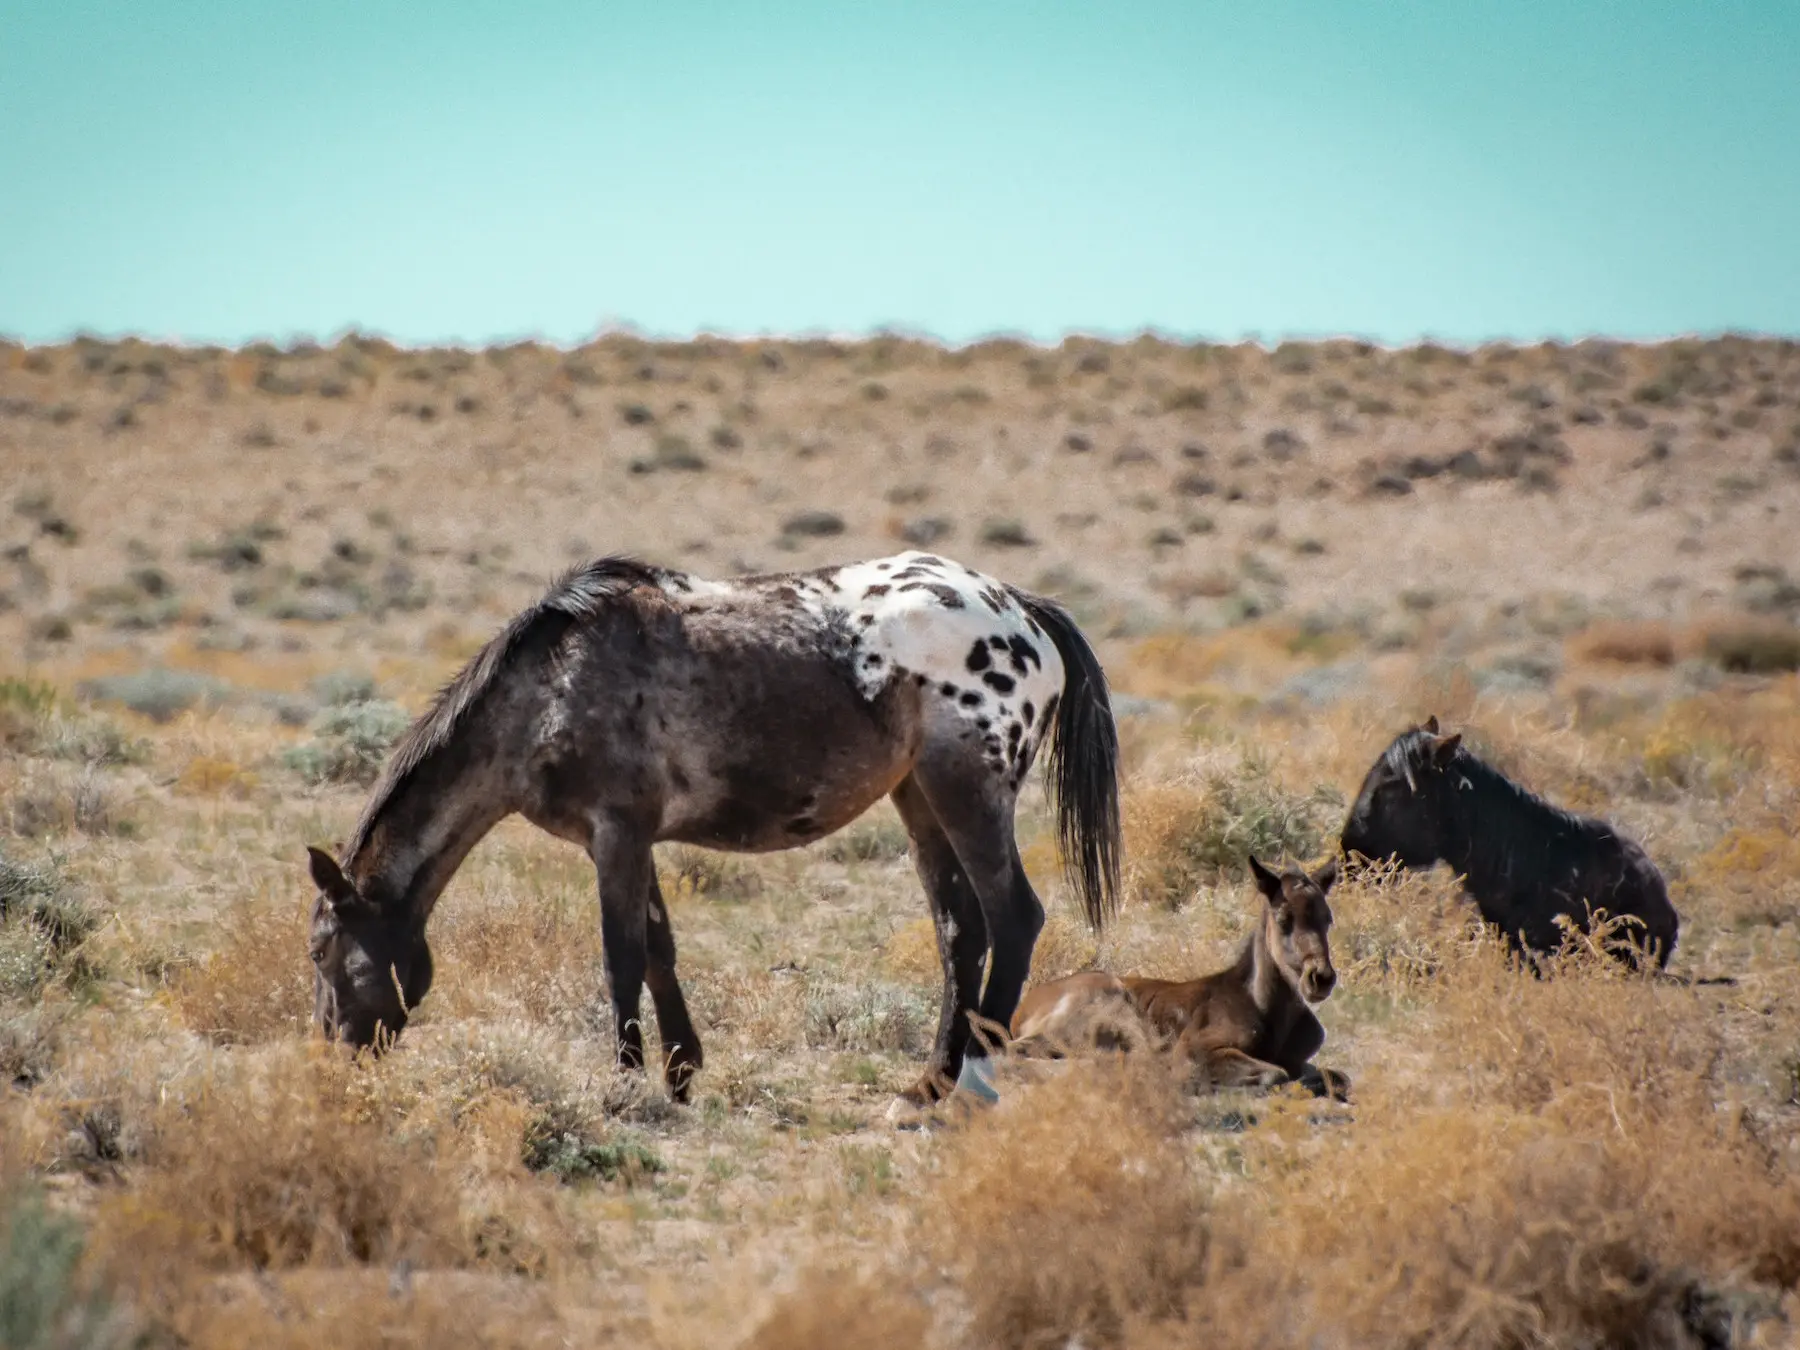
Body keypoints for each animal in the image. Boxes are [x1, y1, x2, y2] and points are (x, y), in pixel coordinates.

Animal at [302, 550, 1116, 1108]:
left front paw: (627, 1083)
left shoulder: (616, 836)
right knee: (960, 931)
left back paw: (971, 1079)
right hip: (919, 799)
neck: (548, 690)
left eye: (319, 951)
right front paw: (680, 1073)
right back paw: (928, 1083)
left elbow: (622, 959)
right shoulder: (631, 841)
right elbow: (660, 950)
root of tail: (1017, 608)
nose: (334, 1052)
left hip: (967, 792)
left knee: (1013, 919)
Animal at [1008, 860, 1346, 1101]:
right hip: (1105, 1008)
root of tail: (1020, 1012)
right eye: (1283, 919)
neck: (1265, 1008)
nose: (1320, 978)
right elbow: (1277, 1074)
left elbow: (1338, 1078)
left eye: (1328, 919)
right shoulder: (1195, 1047)